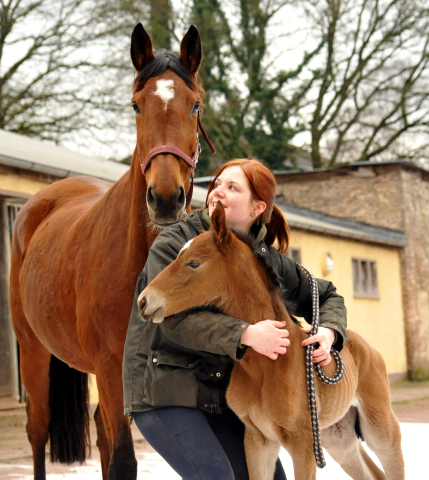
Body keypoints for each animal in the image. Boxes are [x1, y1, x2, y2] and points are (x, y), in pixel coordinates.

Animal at [8, 24, 206, 480]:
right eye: (136, 106)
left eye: (195, 105)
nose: (165, 198)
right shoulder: (111, 368)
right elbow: (122, 460)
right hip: (33, 349)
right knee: (38, 430)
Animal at [138, 203, 404, 480]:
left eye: (193, 263)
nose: (144, 301)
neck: (266, 363)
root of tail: (366, 346)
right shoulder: (258, 439)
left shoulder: (303, 442)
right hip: (337, 437)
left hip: (380, 427)